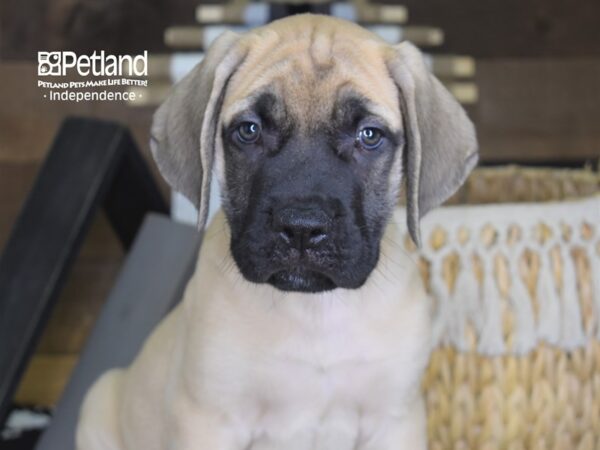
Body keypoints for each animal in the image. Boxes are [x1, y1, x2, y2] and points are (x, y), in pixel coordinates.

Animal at [76, 14, 478, 450]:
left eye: (369, 135)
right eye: (249, 130)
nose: (302, 228)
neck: (312, 313)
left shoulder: (395, 420)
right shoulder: (207, 419)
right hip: (98, 400)